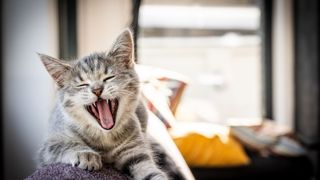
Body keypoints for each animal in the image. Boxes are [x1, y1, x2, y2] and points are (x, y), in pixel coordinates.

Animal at [37, 28, 185, 179]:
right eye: (82, 84)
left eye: (108, 77)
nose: (97, 89)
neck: (105, 137)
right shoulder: (47, 147)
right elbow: (63, 145)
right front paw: (86, 154)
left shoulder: (136, 152)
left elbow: (152, 173)